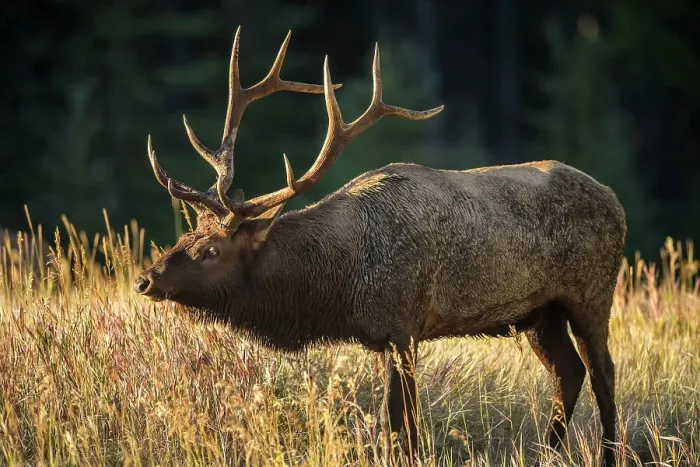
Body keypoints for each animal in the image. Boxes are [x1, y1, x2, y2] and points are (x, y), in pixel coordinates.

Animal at [134, 27, 625, 467]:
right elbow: (395, 424)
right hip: (538, 313)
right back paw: (545, 453)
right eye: (185, 238)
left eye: (212, 250)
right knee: (568, 372)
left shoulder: (403, 325)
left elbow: (402, 422)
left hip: (591, 294)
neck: (341, 283)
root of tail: (615, 201)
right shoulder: (382, 337)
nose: (145, 280)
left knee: (603, 373)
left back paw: (609, 454)